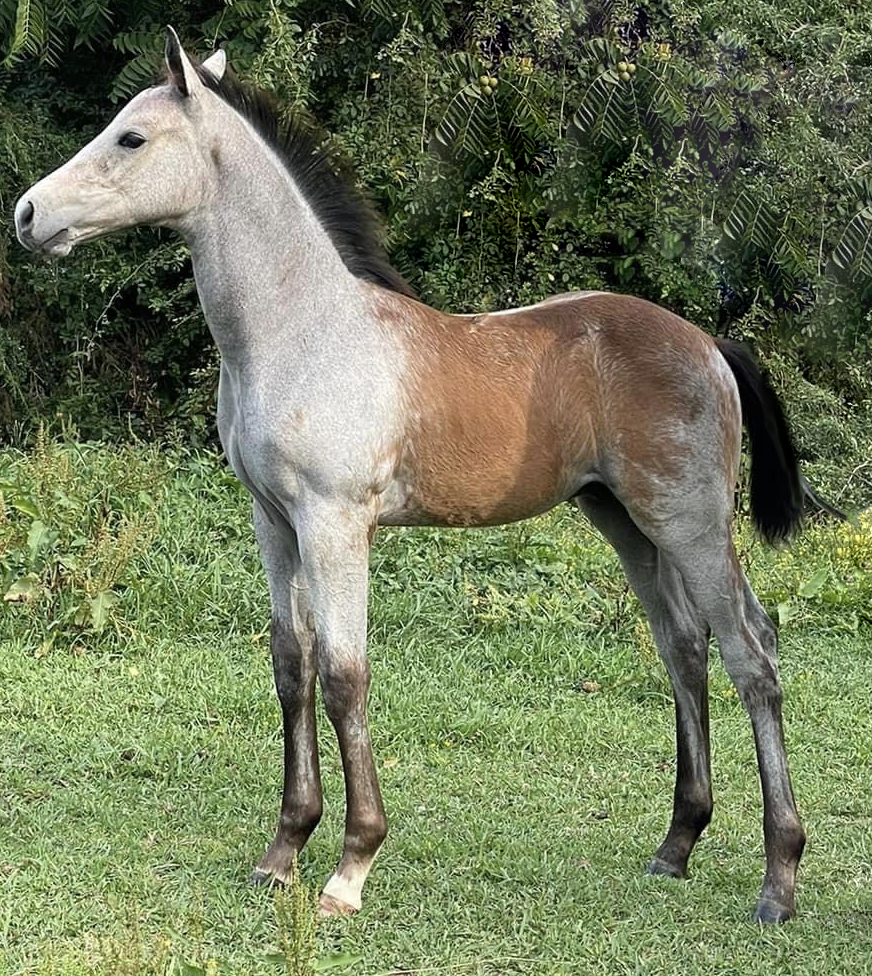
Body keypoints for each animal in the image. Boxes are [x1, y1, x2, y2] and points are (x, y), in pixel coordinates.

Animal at [11, 26, 832, 920]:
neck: (303, 331)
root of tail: (710, 345)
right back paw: (677, 846)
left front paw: (350, 866)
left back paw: (779, 881)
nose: (27, 214)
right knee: (682, 647)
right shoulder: (274, 521)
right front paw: (282, 852)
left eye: (131, 138)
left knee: (750, 651)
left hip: (690, 521)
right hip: (622, 519)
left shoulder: (336, 522)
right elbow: (291, 664)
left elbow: (345, 674)